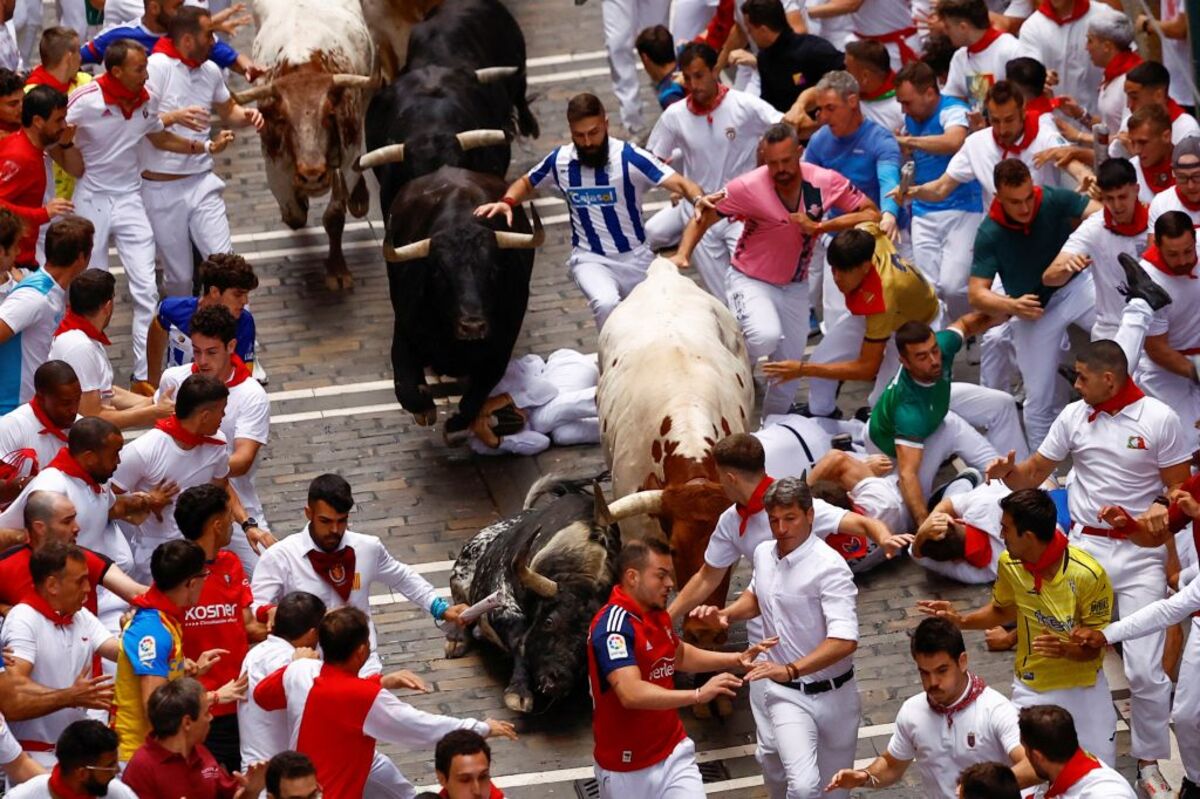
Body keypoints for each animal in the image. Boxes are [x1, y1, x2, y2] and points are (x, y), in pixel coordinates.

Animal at [384, 164, 540, 431]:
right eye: (439, 272)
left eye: (493, 270)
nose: (472, 326)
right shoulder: (404, 334)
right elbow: (406, 389)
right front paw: (425, 407)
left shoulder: (500, 350)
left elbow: (473, 400)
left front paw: (456, 424)